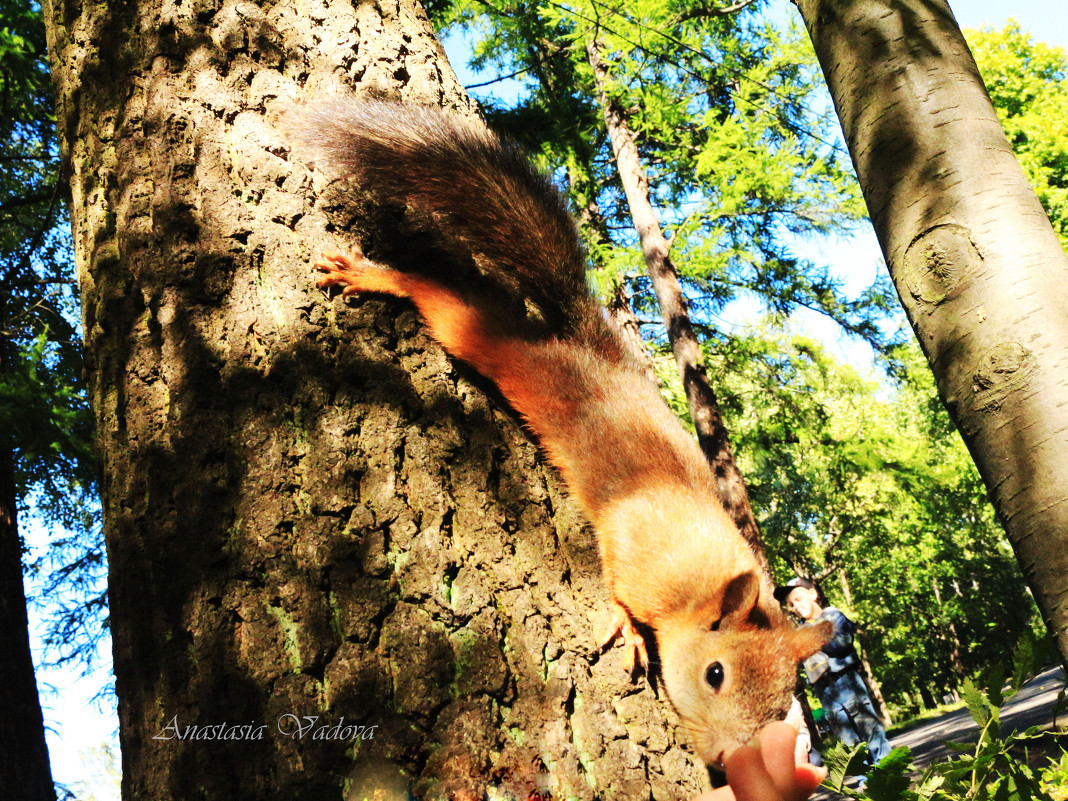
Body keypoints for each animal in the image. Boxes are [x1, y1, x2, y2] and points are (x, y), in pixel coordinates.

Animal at [294, 100, 833, 773]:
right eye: (716, 674)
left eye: (784, 699)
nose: (724, 759)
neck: (697, 589)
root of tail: (590, 351)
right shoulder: (636, 546)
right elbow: (621, 587)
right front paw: (629, 630)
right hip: (500, 350)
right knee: (449, 305)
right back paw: (379, 278)